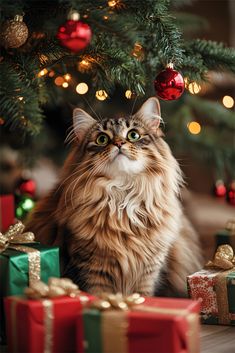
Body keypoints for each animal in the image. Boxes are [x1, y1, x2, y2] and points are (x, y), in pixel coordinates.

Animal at [25, 97, 202, 296]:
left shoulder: (148, 273)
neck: (122, 199)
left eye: (133, 135)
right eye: (102, 139)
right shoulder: (92, 272)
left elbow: (143, 296)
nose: (118, 144)